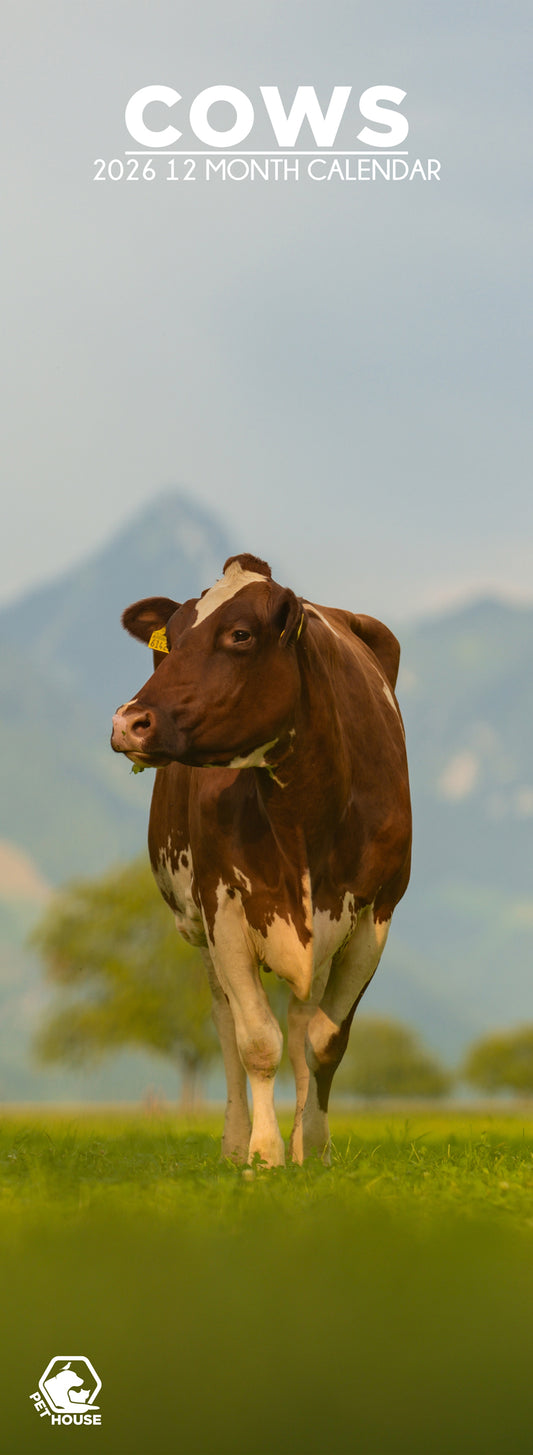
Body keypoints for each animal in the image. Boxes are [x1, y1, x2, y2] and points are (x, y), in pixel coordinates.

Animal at [111, 554, 411, 1166]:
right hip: (199, 927)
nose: (129, 721)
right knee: (226, 1023)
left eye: (241, 635)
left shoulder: (376, 916)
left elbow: (323, 1041)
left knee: (300, 1022)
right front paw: (264, 1155)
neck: (305, 816)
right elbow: (255, 1041)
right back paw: (234, 1142)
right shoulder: (222, 905)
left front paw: (311, 1148)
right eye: (171, 638)